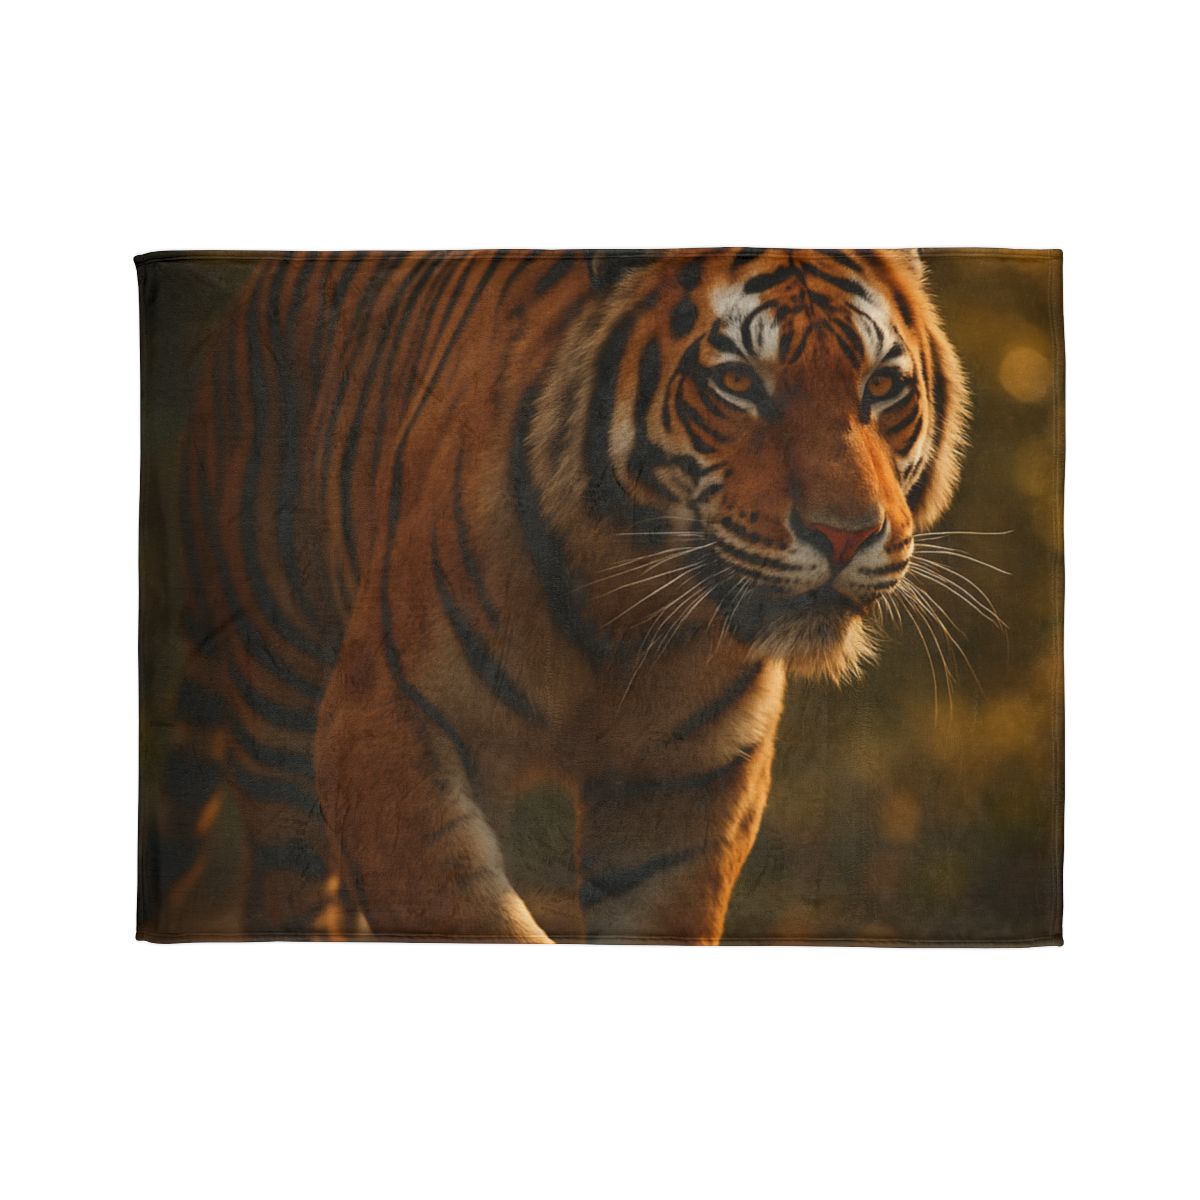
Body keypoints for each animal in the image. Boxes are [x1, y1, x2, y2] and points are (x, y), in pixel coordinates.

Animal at [139, 248, 968, 944]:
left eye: (882, 386)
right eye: (737, 383)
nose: (845, 535)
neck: (625, 615)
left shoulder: (688, 785)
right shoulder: (380, 722)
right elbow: (463, 912)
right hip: (278, 699)